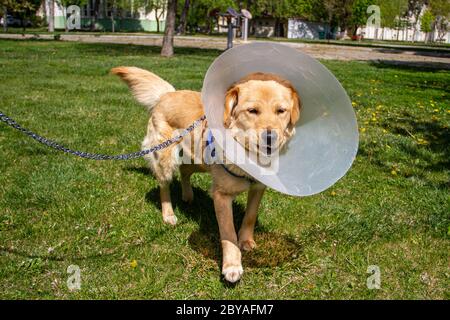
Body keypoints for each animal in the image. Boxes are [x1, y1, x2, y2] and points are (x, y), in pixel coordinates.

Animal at [112, 66, 302, 282]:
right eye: (252, 111)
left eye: (281, 111)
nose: (270, 137)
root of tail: (168, 93)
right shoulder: (221, 195)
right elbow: (228, 233)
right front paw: (232, 266)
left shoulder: (258, 187)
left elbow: (250, 216)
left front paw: (246, 241)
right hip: (166, 158)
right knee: (164, 185)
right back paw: (169, 214)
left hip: (199, 160)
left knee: (185, 171)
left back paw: (188, 196)